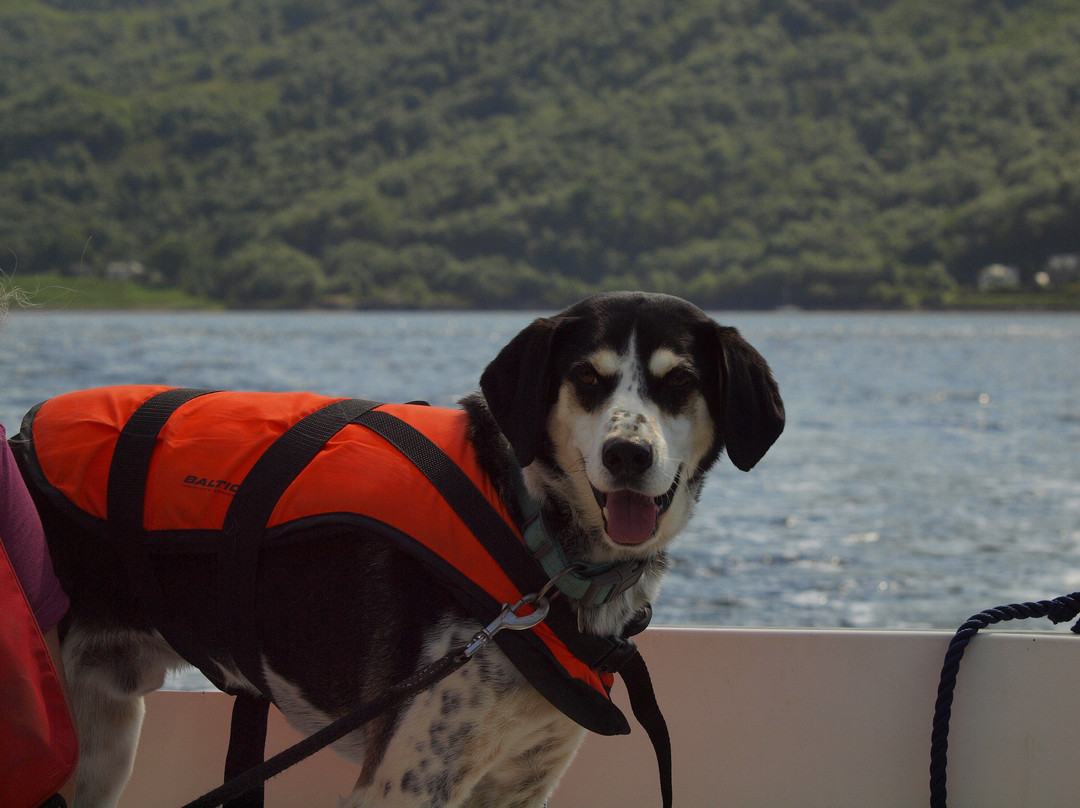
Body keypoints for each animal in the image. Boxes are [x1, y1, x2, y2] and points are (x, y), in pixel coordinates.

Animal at [19, 291, 786, 808]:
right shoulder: (405, 783)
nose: (627, 455)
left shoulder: (520, 783)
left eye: (679, 382)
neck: (533, 539)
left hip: (102, 741)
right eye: (587, 380)